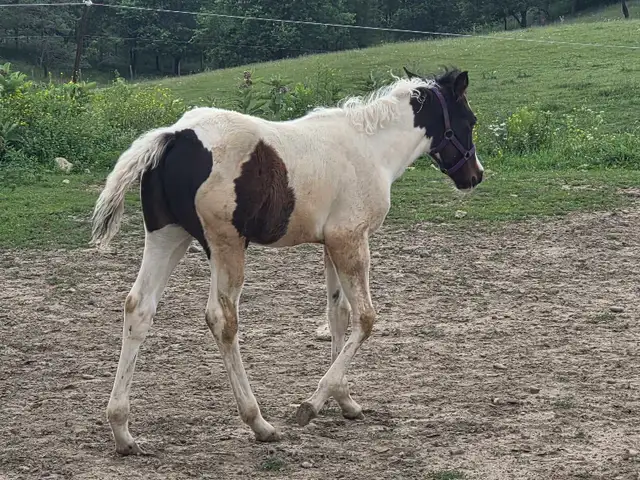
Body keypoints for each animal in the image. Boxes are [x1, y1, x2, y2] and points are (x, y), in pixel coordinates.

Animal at [91, 66, 483, 455]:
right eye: (470, 120)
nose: (475, 175)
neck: (369, 148)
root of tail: (174, 136)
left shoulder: (331, 244)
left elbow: (338, 315)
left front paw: (345, 401)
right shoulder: (351, 239)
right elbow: (365, 318)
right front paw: (311, 405)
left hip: (167, 235)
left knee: (139, 307)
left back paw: (122, 431)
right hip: (226, 245)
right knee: (222, 319)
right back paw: (259, 423)